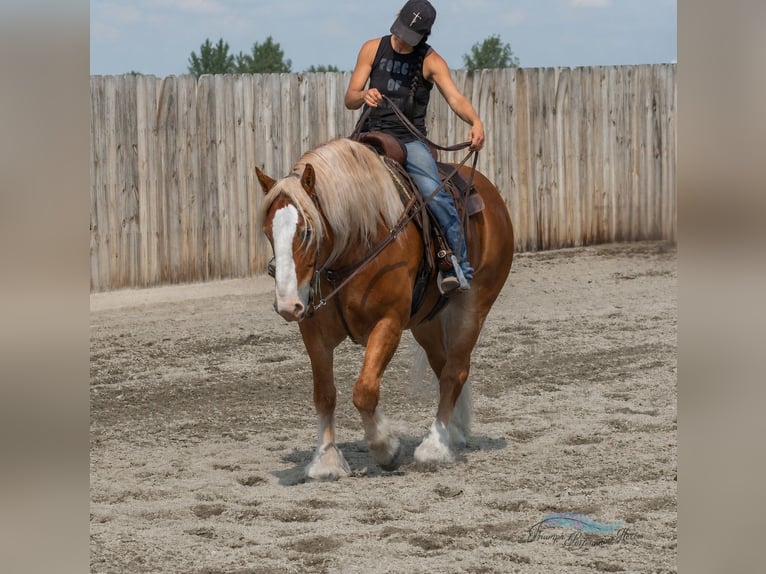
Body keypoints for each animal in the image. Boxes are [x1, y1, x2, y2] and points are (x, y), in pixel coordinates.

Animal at [256, 137, 513, 480]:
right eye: (268, 231)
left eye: (307, 231)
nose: (287, 304)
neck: (356, 244)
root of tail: (490, 194)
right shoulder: (313, 332)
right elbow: (324, 394)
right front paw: (326, 461)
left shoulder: (388, 323)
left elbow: (364, 390)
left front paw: (385, 448)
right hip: (426, 322)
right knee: (442, 365)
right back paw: (453, 432)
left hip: (474, 306)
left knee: (454, 371)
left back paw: (434, 446)